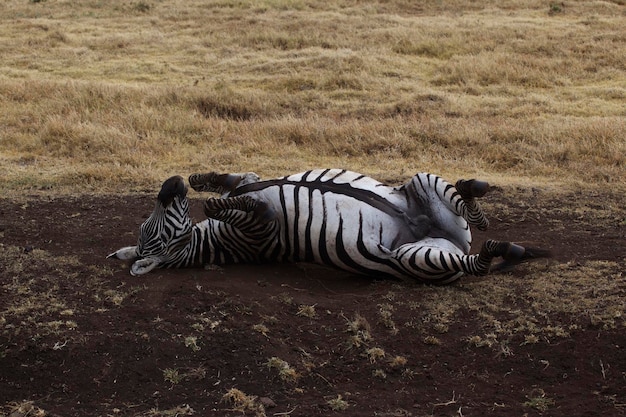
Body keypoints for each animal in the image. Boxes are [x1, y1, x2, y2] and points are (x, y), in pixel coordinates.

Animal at [109, 168, 548, 282]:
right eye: (150, 231)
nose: (170, 184)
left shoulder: (250, 179)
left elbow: (229, 182)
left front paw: (201, 179)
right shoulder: (263, 233)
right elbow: (230, 206)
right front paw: (230, 201)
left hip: (424, 184)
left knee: (470, 207)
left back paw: (477, 192)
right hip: (418, 258)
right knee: (476, 263)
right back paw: (502, 249)